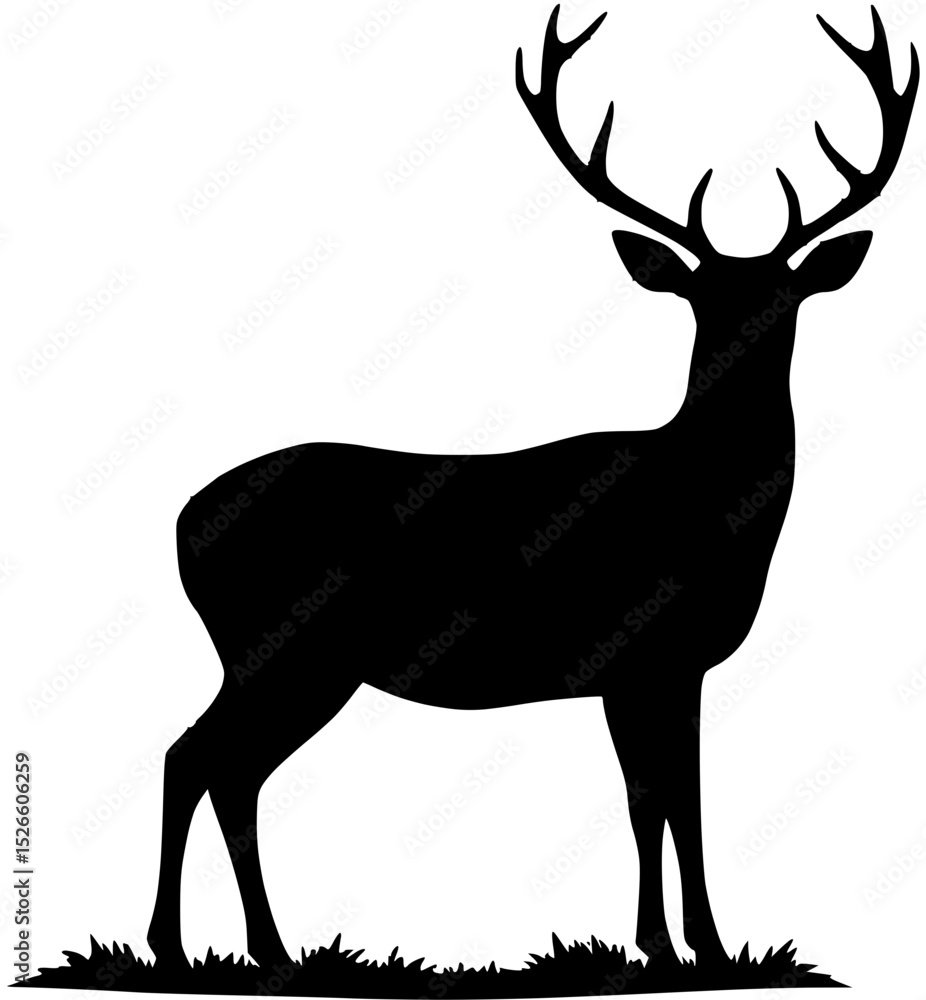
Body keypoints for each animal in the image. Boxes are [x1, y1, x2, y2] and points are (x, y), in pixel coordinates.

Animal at [146, 4, 918, 974]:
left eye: (788, 297)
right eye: (702, 299)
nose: (745, 345)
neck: (711, 507)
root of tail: (180, 522)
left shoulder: (672, 665)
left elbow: (672, 800)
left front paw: (688, 947)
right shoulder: (638, 652)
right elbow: (658, 801)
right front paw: (677, 950)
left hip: (278, 657)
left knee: (214, 765)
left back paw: (249, 953)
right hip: (284, 647)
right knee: (203, 760)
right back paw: (202, 951)